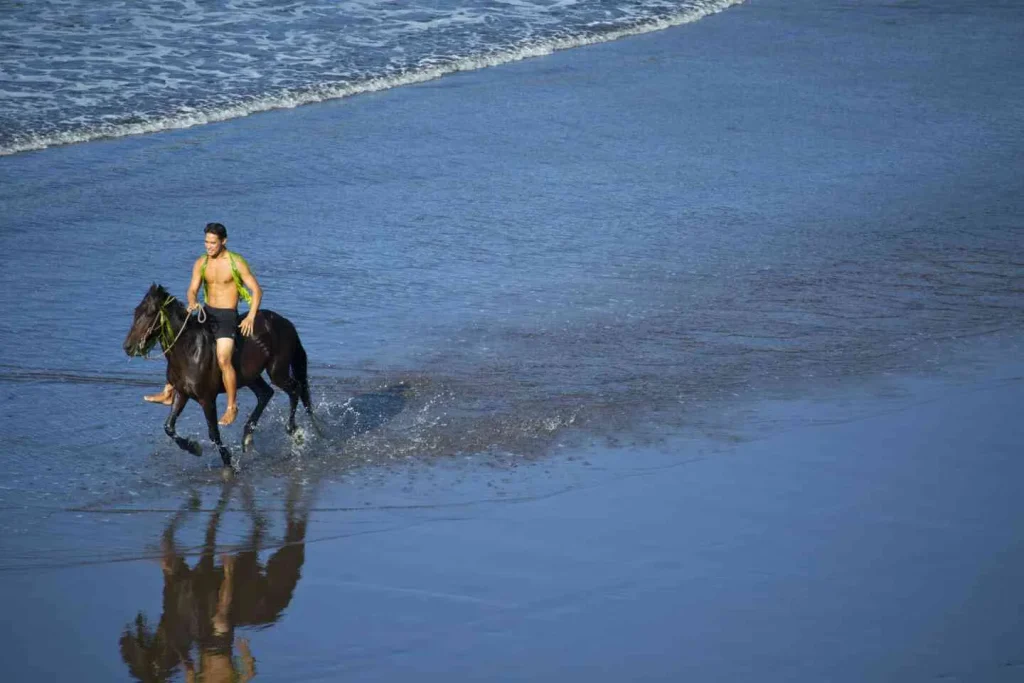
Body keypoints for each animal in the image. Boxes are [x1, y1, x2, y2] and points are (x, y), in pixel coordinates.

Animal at [122, 284, 311, 471]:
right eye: (136, 311)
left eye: (150, 313)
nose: (128, 347)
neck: (189, 351)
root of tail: (286, 323)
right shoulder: (182, 393)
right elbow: (169, 427)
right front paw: (194, 448)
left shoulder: (207, 399)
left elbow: (213, 433)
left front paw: (228, 463)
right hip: (251, 377)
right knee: (265, 393)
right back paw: (247, 438)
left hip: (277, 371)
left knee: (295, 389)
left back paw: (293, 431)